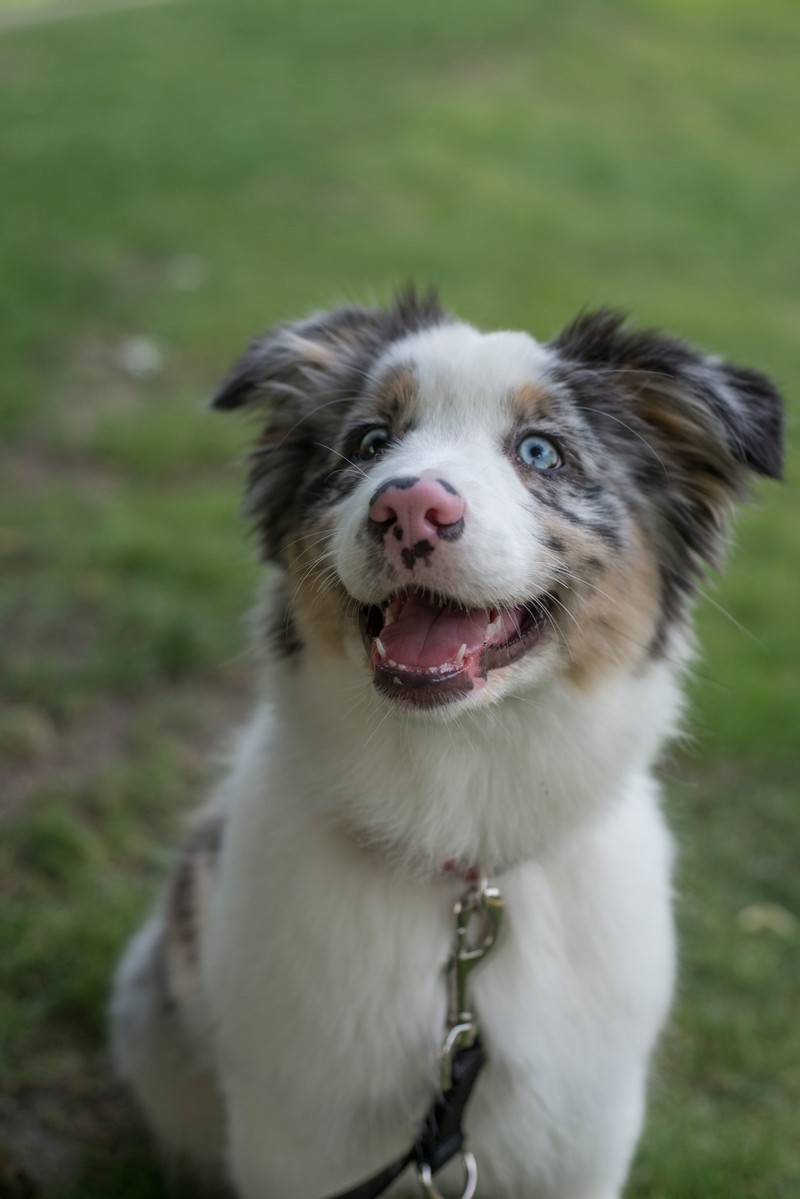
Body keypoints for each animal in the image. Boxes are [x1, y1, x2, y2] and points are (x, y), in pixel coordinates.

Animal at [109, 292, 786, 1199]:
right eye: (368, 442)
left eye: (540, 451)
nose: (408, 508)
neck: (462, 817)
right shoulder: (297, 1133)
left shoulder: (585, 1134)